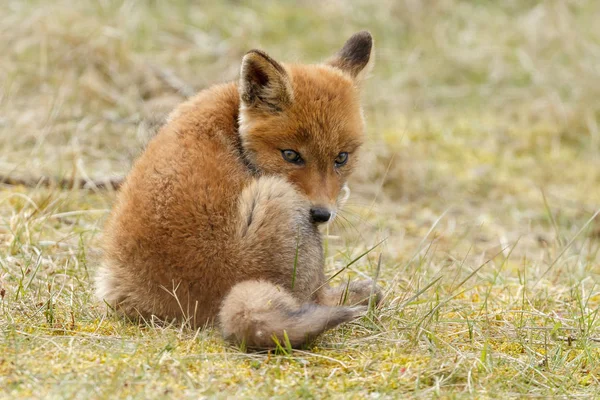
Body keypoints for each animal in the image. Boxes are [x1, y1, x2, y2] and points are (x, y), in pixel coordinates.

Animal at [96, 31, 382, 348]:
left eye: (341, 158)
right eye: (291, 155)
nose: (322, 214)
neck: (234, 121)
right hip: (279, 197)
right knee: (316, 298)